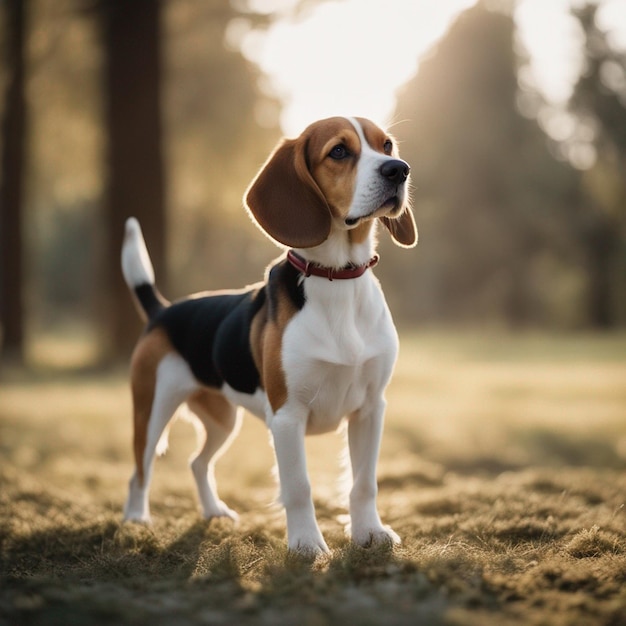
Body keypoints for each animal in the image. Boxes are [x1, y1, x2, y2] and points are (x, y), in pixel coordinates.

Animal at [121, 116, 414, 552]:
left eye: (387, 146)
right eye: (339, 151)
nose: (399, 170)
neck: (337, 279)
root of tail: (163, 309)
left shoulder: (370, 409)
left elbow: (364, 483)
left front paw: (369, 533)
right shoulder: (288, 417)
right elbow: (299, 487)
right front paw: (306, 545)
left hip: (223, 421)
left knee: (197, 462)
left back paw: (214, 511)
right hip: (153, 408)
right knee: (140, 469)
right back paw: (137, 518)